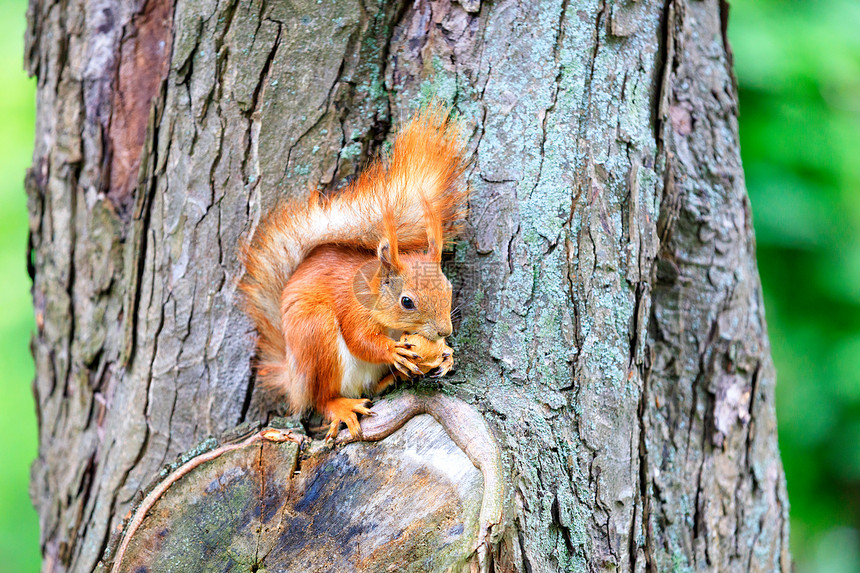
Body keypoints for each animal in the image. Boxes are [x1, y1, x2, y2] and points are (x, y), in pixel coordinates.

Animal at [239, 107, 466, 438]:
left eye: (448, 288)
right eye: (407, 302)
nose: (444, 332)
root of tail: (294, 379)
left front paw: (447, 355)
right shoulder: (352, 307)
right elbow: (360, 340)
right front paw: (393, 351)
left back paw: (393, 379)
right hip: (316, 335)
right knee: (322, 398)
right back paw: (343, 405)